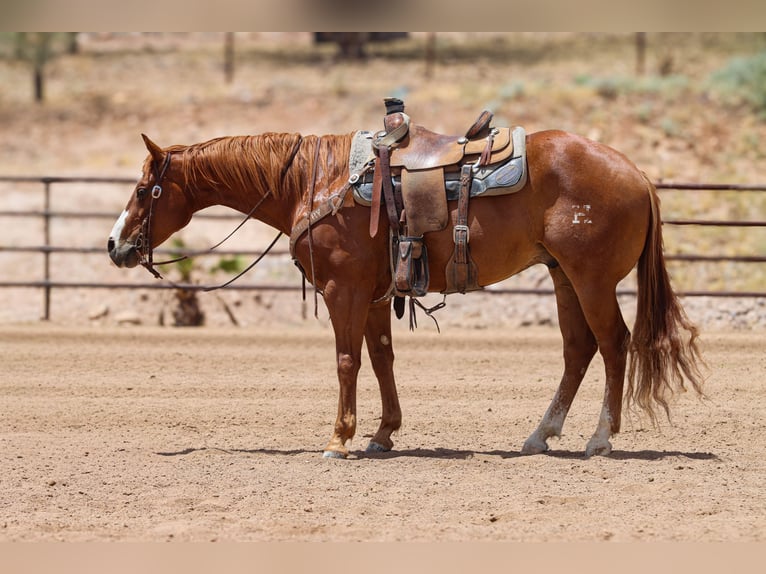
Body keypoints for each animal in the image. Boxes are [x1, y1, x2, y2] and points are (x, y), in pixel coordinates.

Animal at [108, 123, 705, 458]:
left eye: (142, 189)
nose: (115, 245)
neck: (313, 181)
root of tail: (637, 174)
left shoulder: (342, 290)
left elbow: (347, 360)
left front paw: (339, 439)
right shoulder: (373, 294)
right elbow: (381, 358)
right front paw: (383, 435)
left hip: (592, 280)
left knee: (613, 344)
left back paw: (600, 438)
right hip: (562, 277)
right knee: (578, 349)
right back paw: (541, 435)